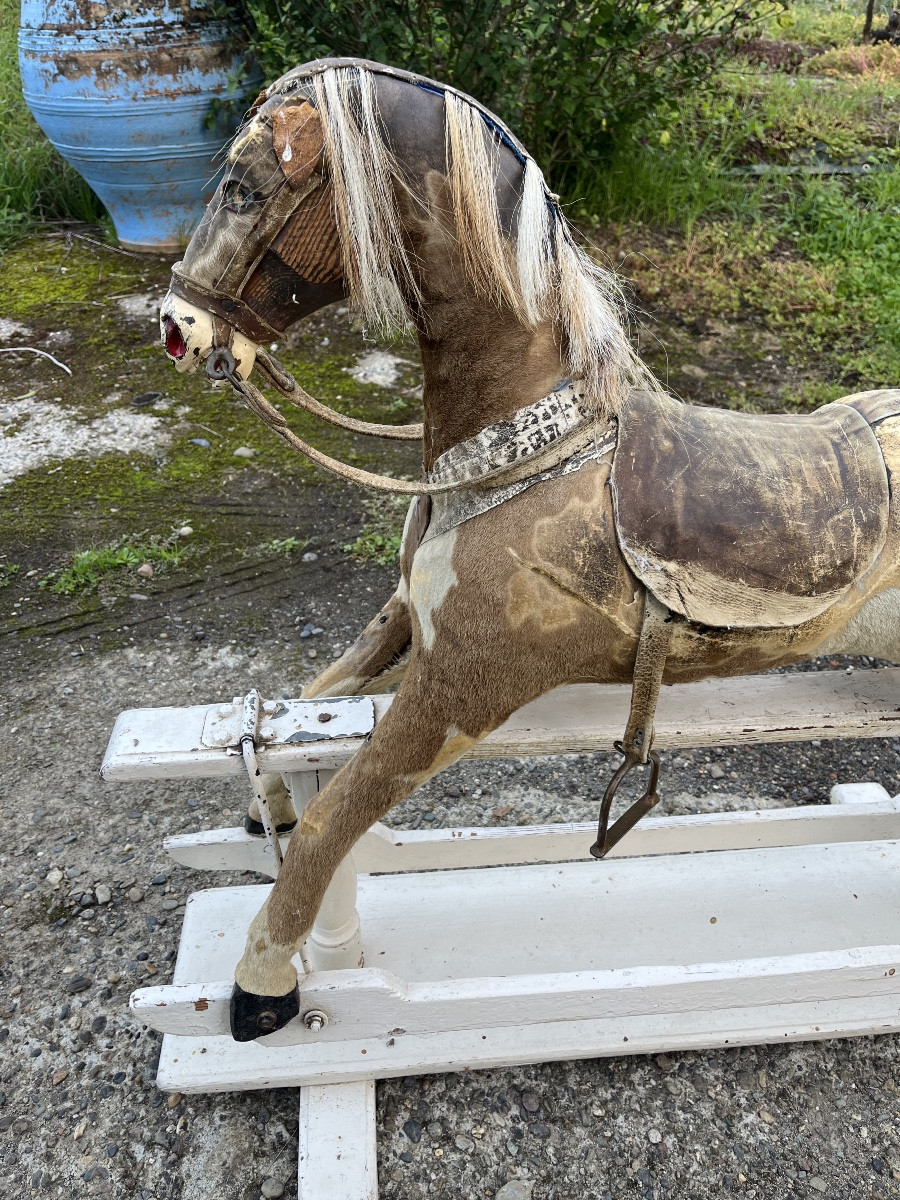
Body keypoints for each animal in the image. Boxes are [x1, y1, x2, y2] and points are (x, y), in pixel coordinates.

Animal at [160, 57, 900, 1041]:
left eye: (243, 187)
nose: (174, 326)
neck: (526, 450)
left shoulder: (462, 689)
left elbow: (336, 819)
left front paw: (262, 985)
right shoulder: (409, 621)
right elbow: (312, 697)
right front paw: (266, 796)